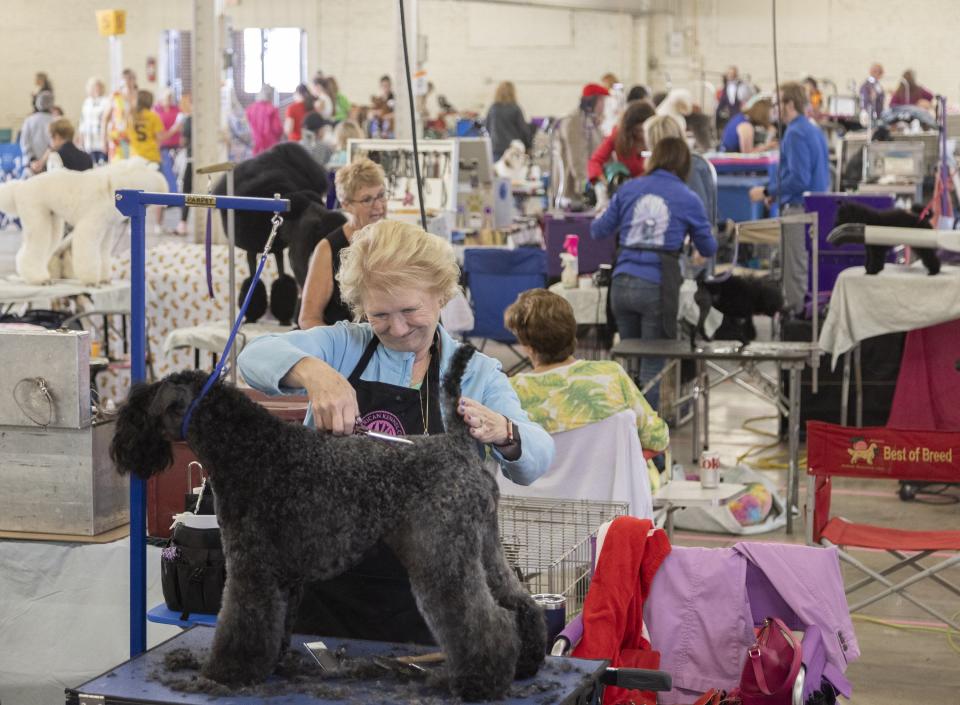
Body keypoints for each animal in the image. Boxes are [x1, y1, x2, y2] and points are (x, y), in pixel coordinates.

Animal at [109, 344, 544, 696]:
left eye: (139, 405)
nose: (119, 447)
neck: (248, 449)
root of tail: (458, 444)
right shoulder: (284, 577)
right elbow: (276, 624)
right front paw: (271, 663)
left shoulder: (251, 568)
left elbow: (240, 622)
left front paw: (224, 672)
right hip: (484, 548)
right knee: (518, 602)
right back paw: (526, 663)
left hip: (441, 558)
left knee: (483, 620)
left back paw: (479, 681)